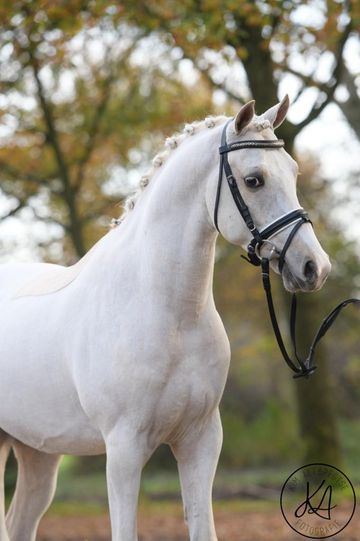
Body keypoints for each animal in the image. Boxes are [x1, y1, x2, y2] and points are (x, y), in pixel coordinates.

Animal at [0, 98, 330, 540]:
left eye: (293, 172)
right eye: (254, 180)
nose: (315, 267)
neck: (168, 315)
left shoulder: (201, 441)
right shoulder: (124, 449)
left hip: (37, 451)